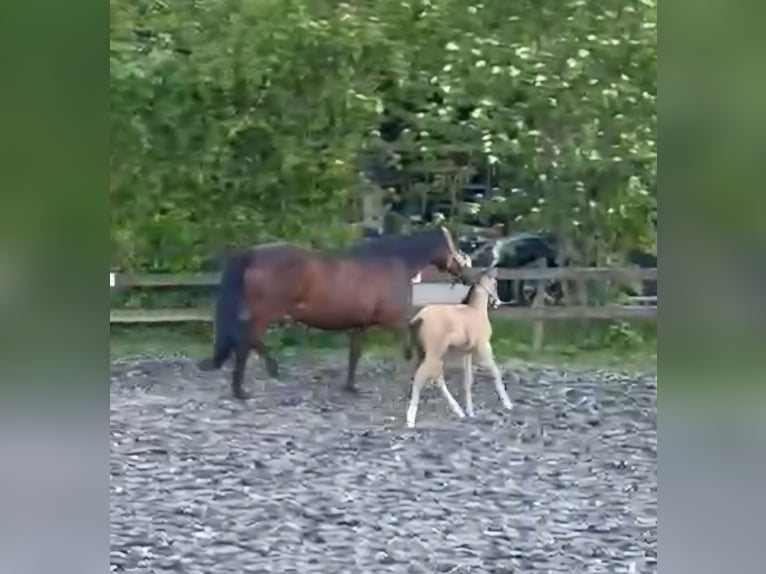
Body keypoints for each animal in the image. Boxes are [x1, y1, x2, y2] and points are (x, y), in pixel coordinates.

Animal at [198, 227, 472, 400]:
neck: (390, 262)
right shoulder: (392, 320)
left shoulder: (361, 324)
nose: (466, 273)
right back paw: (245, 387)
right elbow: (413, 343)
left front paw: (351, 387)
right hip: (263, 313)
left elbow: (355, 354)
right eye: (451, 246)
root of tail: (253, 254)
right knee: (246, 341)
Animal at [402, 266, 514, 428]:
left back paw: (459, 411)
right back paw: (411, 419)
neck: (476, 312)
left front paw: (470, 412)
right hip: (434, 354)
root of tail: (419, 317)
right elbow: (496, 372)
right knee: (421, 378)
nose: (497, 302)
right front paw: (508, 404)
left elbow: (468, 382)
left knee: (436, 377)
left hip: (427, 353)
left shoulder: (467, 353)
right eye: (495, 283)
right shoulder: (484, 348)